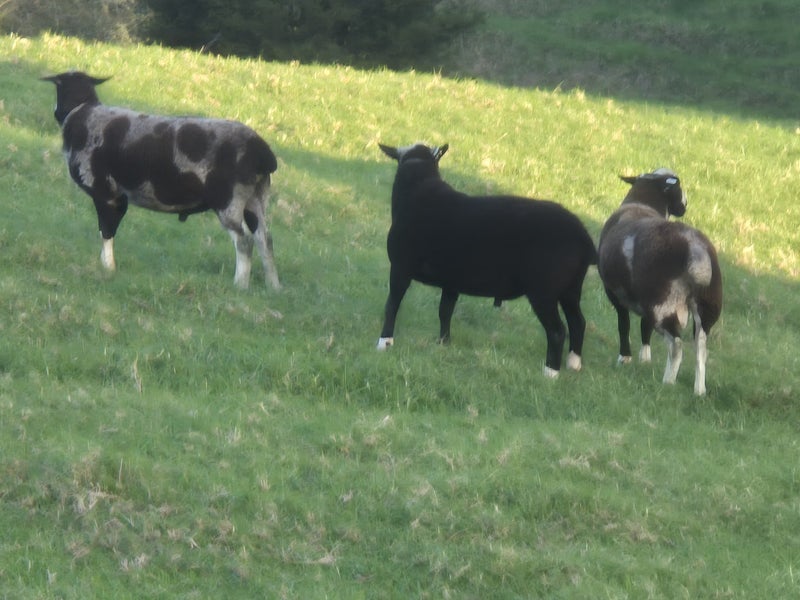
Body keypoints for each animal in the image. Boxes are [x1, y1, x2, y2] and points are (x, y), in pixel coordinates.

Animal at [41, 71, 280, 289]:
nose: (55, 112)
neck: (82, 113)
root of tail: (264, 154)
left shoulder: (106, 192)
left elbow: (107, 231)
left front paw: (107, 267)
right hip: (256, 198)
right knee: (265, 239)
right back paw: (274, 287)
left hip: (229, 199)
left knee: (245, 240)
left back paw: (240, 285)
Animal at [376, 142, 598, 377]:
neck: (418, 189)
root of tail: (584, 239)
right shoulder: (451, 280)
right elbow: (445, 311)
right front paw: (444, 343)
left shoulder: (400, 267)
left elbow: (392, 305)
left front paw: (384, 342)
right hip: (570, 289)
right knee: (578, 322)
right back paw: (574, 363)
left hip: (543, 291)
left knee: (557, 330)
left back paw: (551, 373)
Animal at [597, 168, 723, 395]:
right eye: (678, 188)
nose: (685, 205)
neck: (642, 204)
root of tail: (695, 250)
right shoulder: (642, 300)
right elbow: (643, 327)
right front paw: (644, 359)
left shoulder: (615, 294)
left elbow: (624, 325)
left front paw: (625, 358)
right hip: (706, 306)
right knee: (700, 348)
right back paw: (699, 390)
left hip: (664, 302)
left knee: (676, 345)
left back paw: (668, 382)